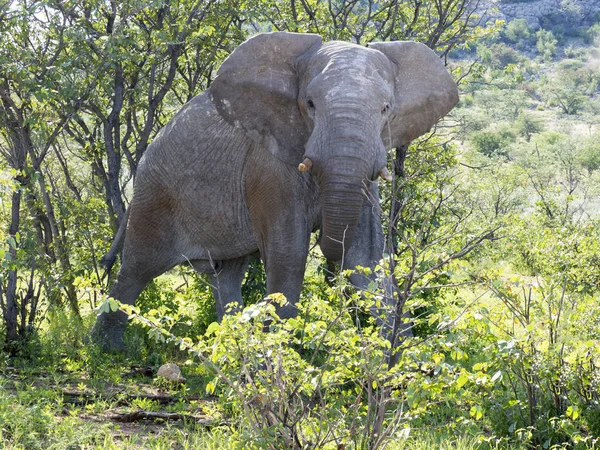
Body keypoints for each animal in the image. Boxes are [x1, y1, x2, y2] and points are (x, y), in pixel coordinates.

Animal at [91, 31, 460, 352]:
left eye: (386, 109)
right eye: (309, 104)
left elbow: (366, 258)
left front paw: (406, 364)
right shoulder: (268, 169)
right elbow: (289, 254)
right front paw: (281, 356)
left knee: (226, 273)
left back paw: (234, 347)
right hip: (155, 193)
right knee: (137, 269)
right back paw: (109, 350)